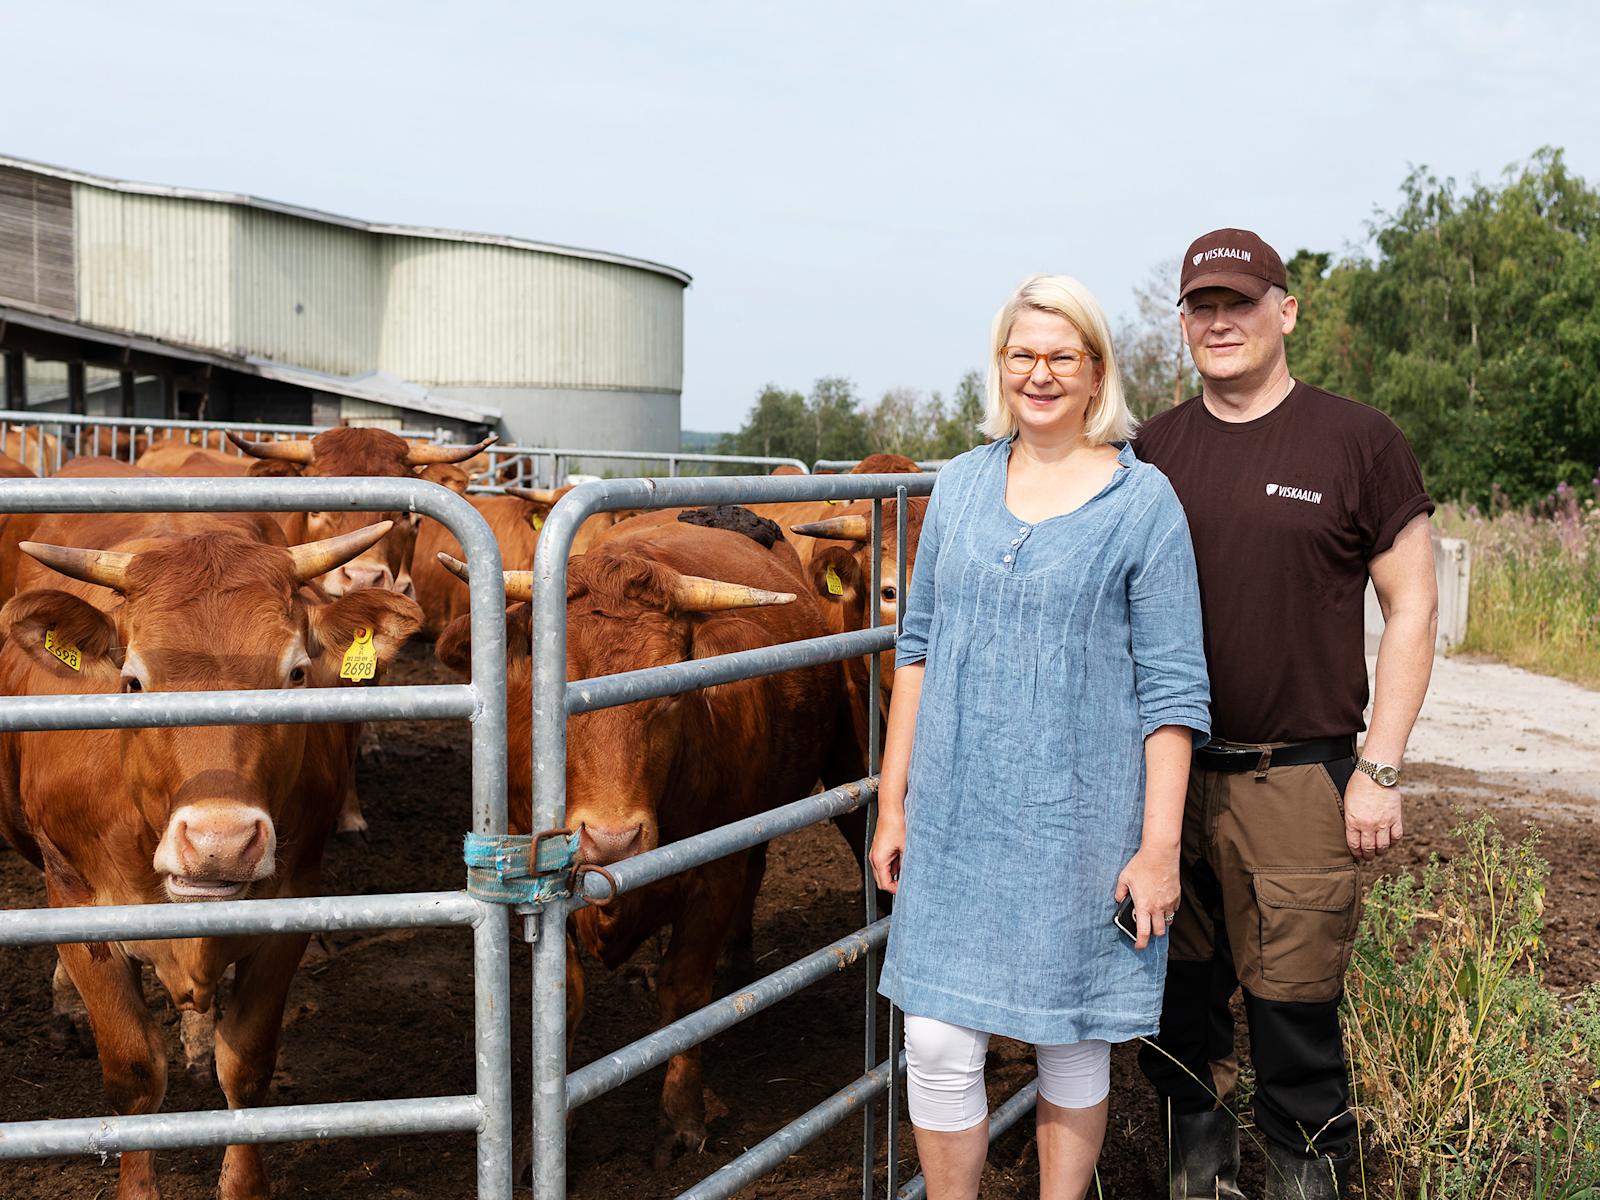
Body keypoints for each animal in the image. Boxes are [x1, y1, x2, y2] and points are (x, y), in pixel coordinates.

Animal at [0, 518, 419, 1200]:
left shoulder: (289, 910)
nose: (219, 840)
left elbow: (245, 1065)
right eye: (132, 682)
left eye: (296, 674)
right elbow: (134, 1073)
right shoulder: (77, 899)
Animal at [432, 524, 857, 1164]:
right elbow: (564, 1000)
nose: (612, 840)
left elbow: (684, 991)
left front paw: (681, 1118)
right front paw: (551, 1135)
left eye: (669, 692)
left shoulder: (715, 871)